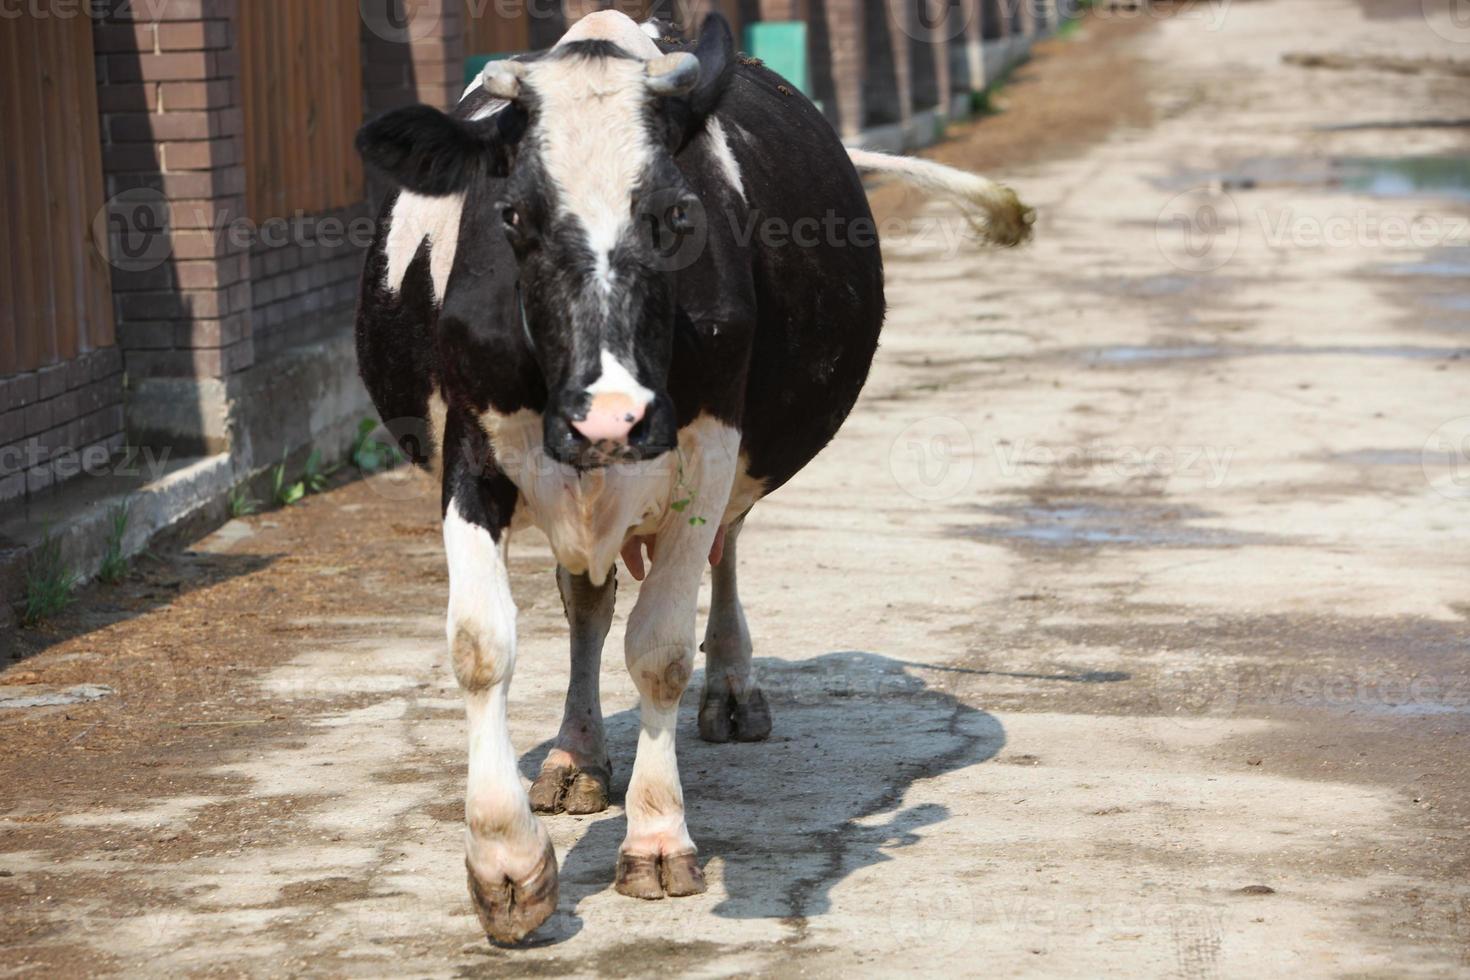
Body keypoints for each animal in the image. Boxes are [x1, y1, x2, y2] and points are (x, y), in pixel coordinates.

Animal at [349, 7, 1029, 940]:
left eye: (675, 214)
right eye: (514, 213)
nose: (610, 418)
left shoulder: (706, 448)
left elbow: (662, 649)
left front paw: (657, 838)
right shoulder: (472, 448)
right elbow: (483, 645)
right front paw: (505, 865)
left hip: (737, 458)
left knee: (725, 553)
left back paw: (734, 692)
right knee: (586, 602)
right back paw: (574, 757)